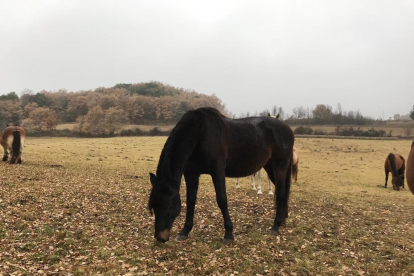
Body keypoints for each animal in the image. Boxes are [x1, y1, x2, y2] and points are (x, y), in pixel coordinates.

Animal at [149, 107, 294, 244]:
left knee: (281, 193)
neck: (200, 133)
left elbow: (222, 200)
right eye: (153, 206)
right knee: (281, 191)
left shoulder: (217, 172)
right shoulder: (191, 174)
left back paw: (275, 226)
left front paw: (228, 234)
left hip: (279, 166)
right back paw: (282, 220)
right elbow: (191, 200)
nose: (160, 238)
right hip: (269, 166)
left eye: (165, 204)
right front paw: (185, 231)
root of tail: (288, 129)